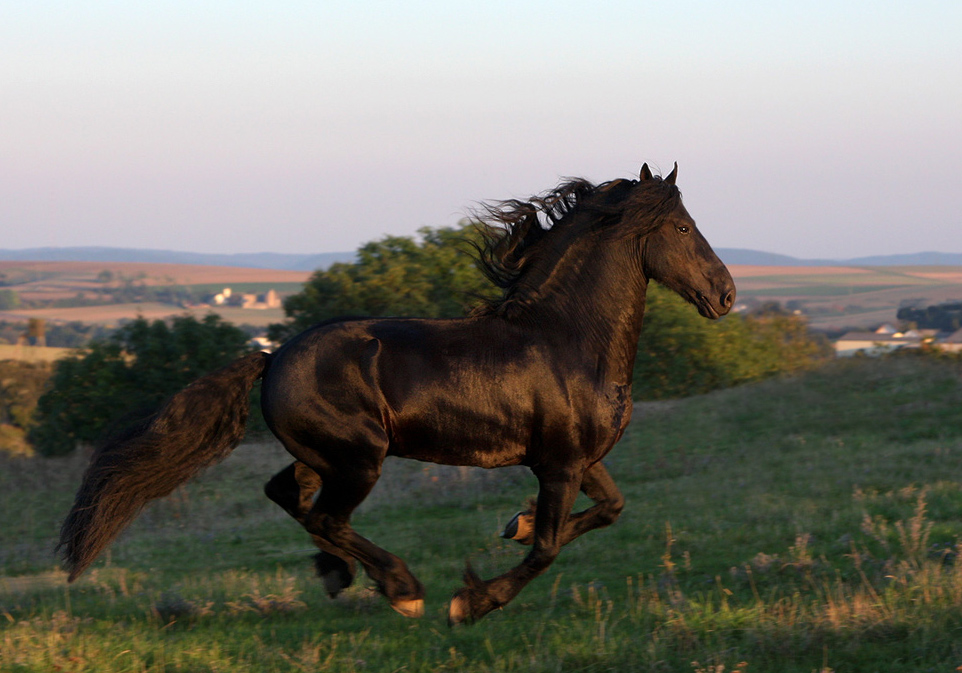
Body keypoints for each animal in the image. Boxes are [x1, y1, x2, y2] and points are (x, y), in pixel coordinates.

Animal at [58, 163, 736, 624]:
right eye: (682, 226)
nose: (726, 294)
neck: (566, 340)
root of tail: (274, 357)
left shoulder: (579, 460)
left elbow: (610, 509)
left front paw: (512, 525)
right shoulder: (560, 464)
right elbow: (546, 549)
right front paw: (470, 602)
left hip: (323, 456)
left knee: (290, 497)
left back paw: (342, 574)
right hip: (359, 458)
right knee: (325, 515)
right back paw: (402, 589)